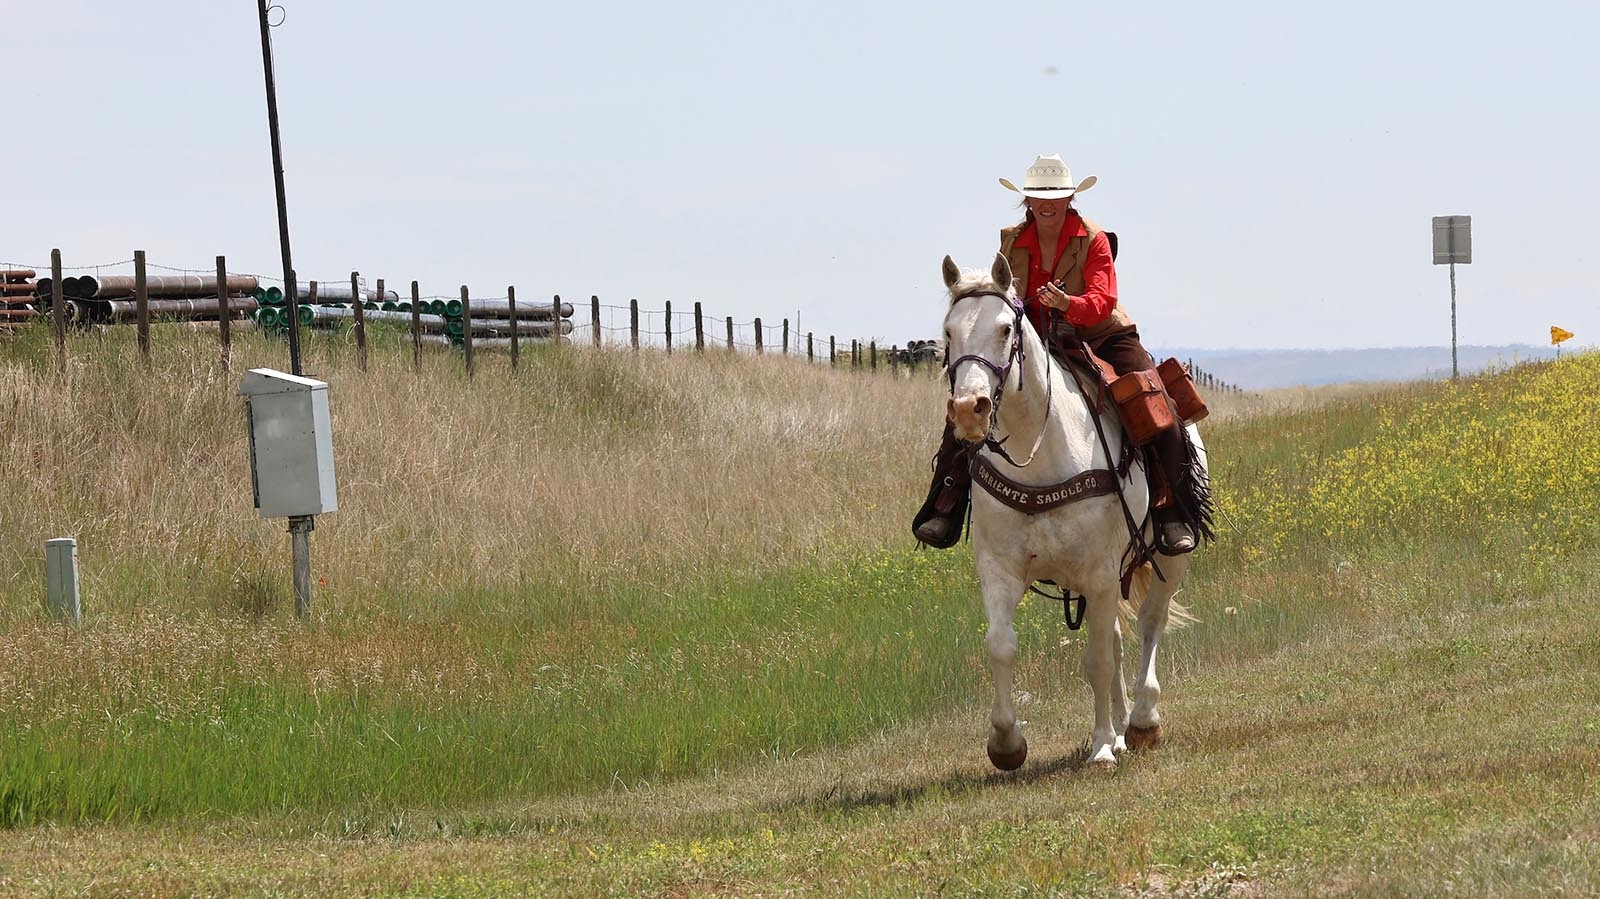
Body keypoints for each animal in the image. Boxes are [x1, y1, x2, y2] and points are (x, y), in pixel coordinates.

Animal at [939, 252, 1205, 770]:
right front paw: (1006, 743)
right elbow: (1001, 646)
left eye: (1005, 328)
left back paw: (1141, 722)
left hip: (1169, 558)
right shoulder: (1000, 569)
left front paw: (1101, 746)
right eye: (947, 332)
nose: (968, 409)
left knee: (1149, 623)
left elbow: (1097, 660)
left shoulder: (1100, 570)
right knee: (1118, 637)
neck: (1041, 450)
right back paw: (1122, 730)